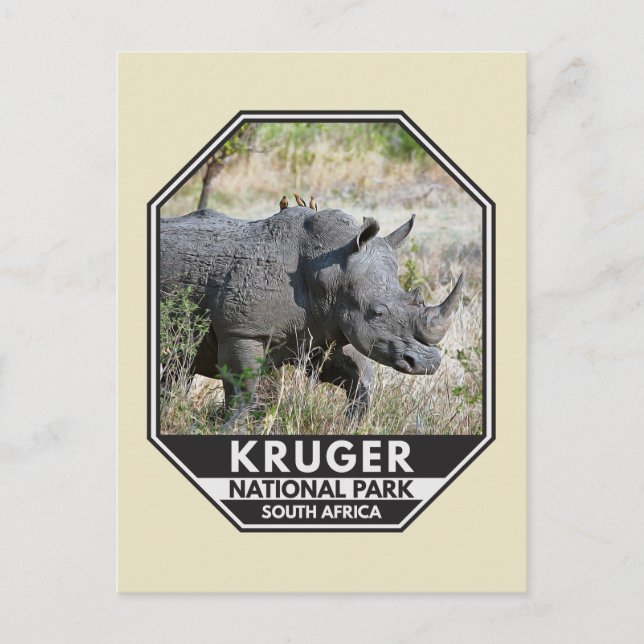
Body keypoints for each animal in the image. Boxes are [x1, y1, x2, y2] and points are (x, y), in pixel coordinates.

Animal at [160, 206, 462, 431]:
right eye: (377, 313)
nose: (427, 364)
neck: (330, 271)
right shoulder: (242, 331)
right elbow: (244, 387)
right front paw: (233, 429)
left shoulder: (320, 328)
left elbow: (359, 375)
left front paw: (350, 425)